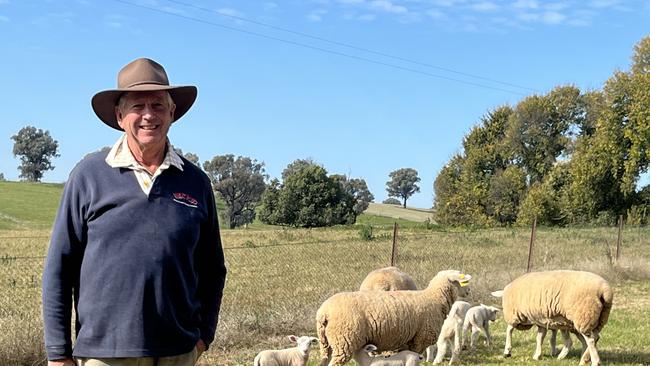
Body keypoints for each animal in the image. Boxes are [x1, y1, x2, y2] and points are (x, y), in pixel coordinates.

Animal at [316, 268, 470, 366]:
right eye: (460, 279)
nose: (469, 291)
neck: (434, 298)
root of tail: (324, 311)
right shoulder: (419, 340)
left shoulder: (406, 340)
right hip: (344, 341)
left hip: (326, 344)